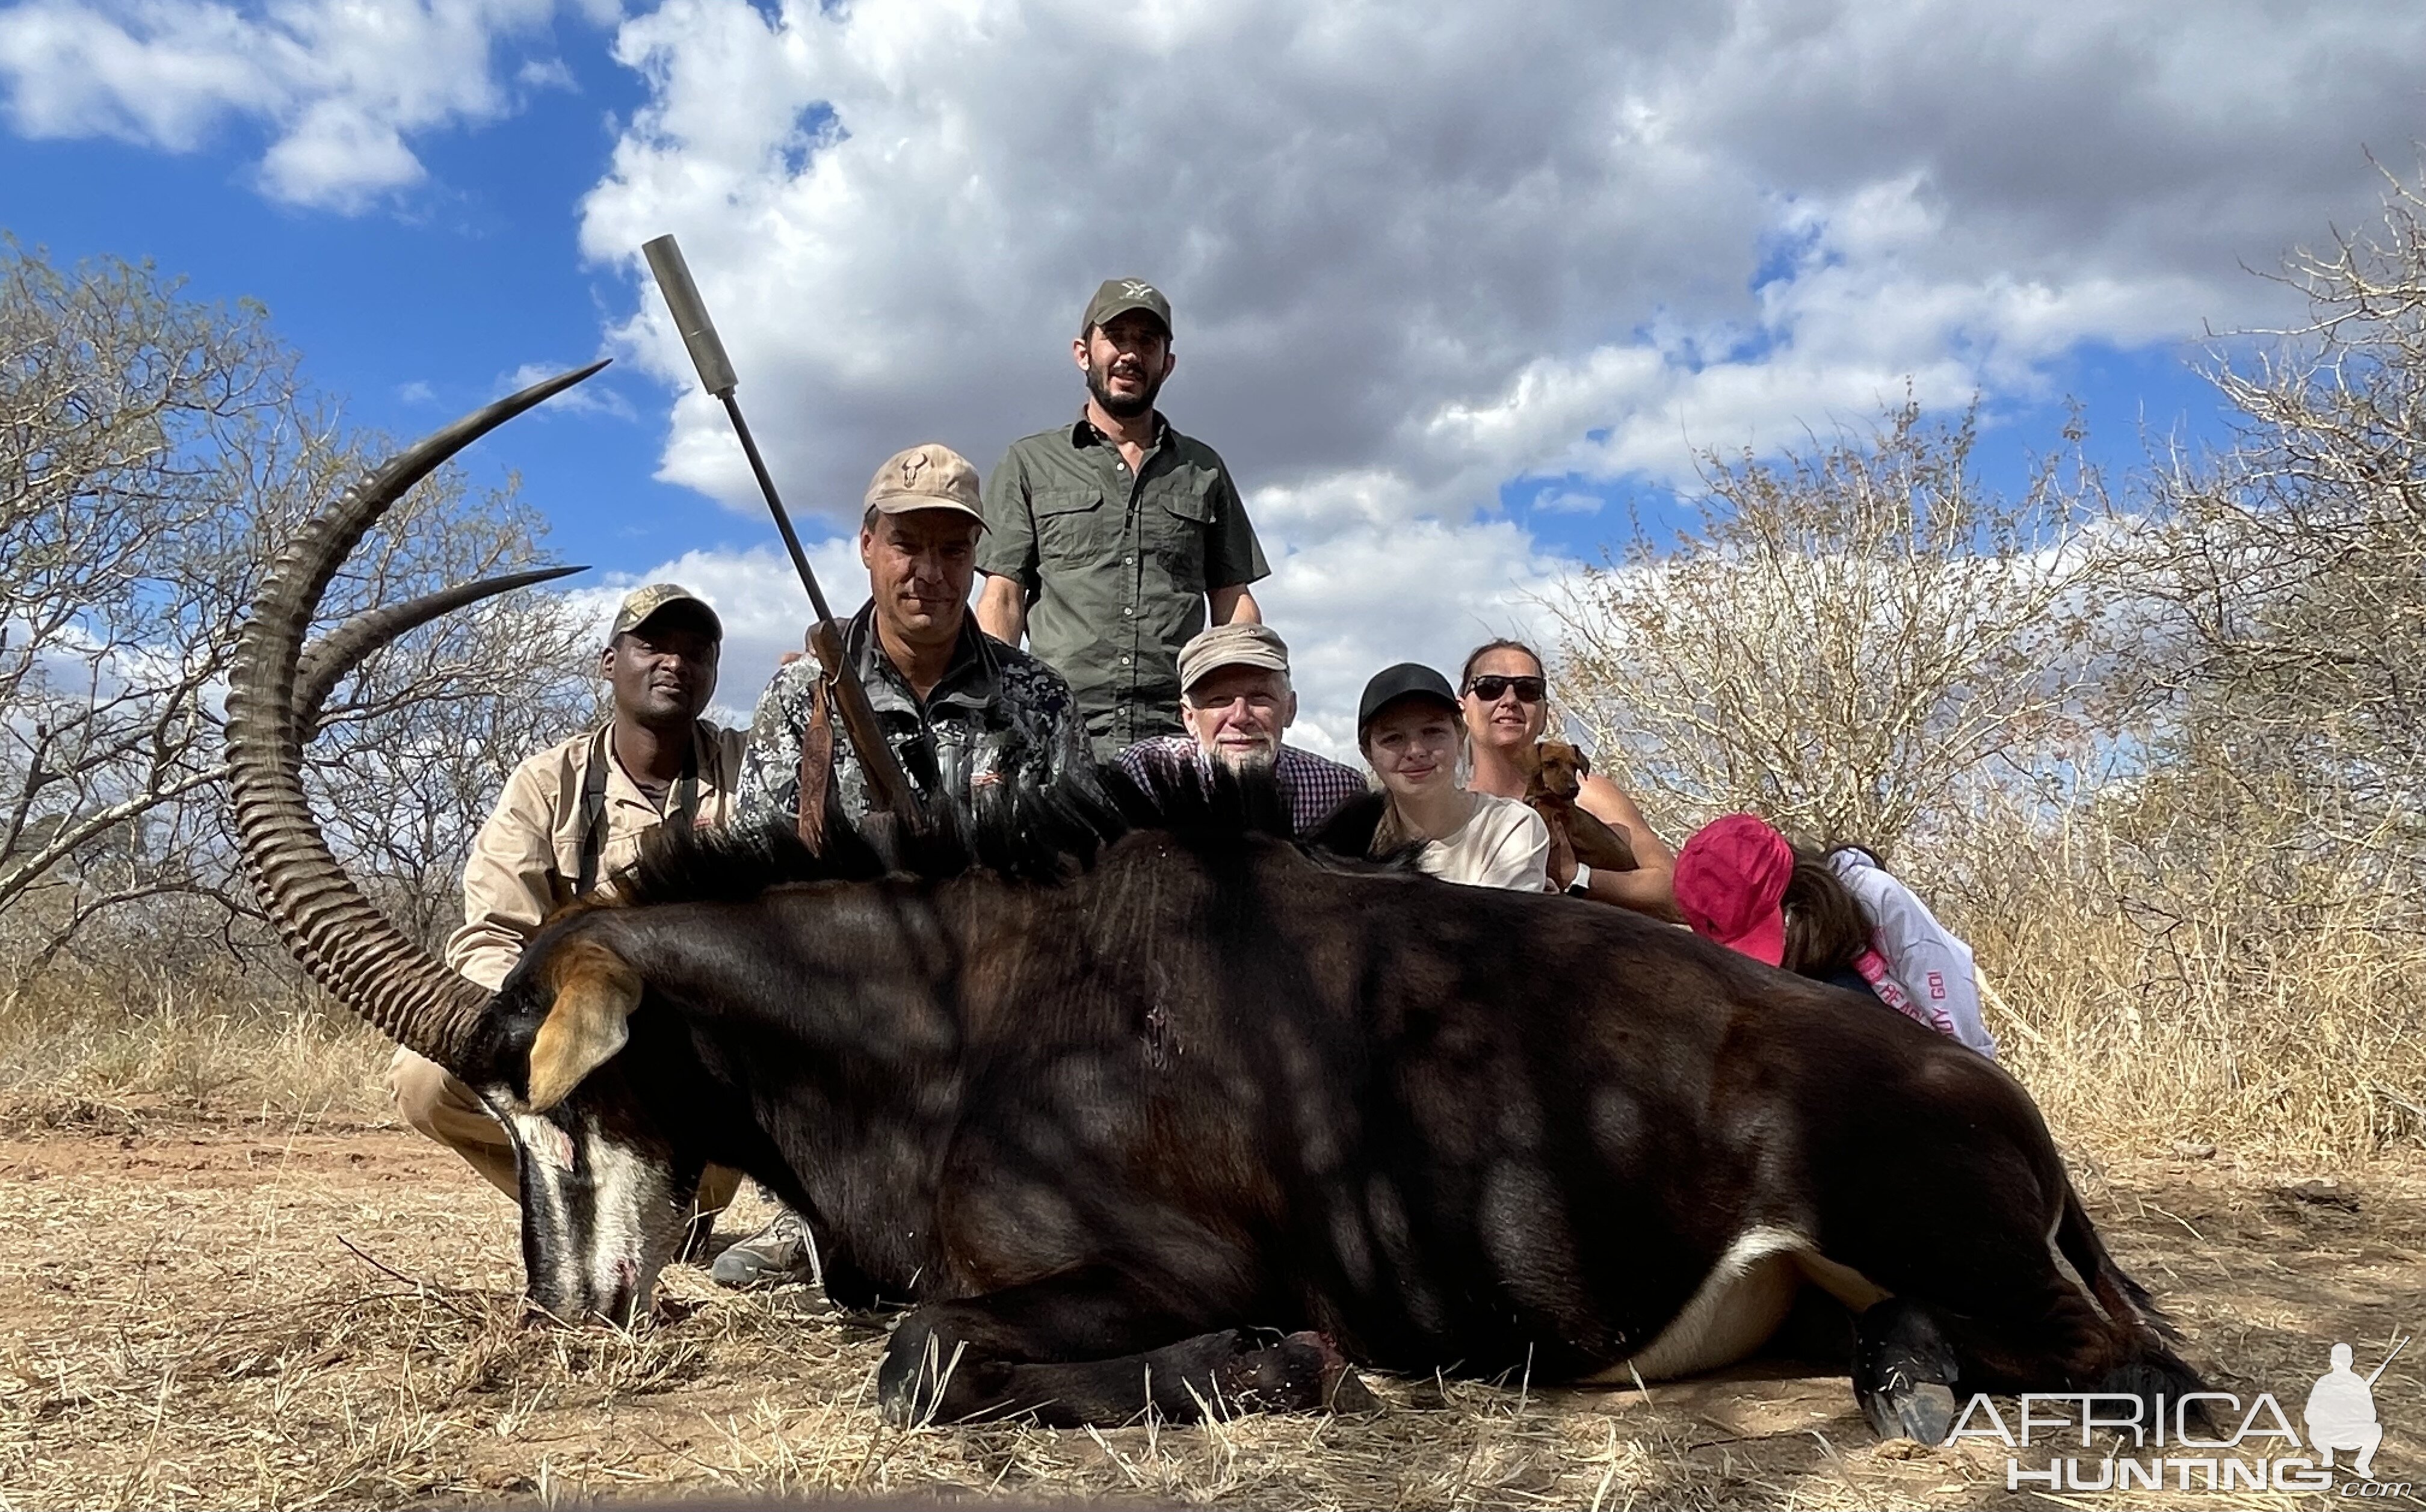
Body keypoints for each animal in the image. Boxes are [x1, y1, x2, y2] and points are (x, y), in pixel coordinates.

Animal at [223, 366, 2203, 1446]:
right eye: (485, 1111)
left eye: (551, 1089)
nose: (570, 1316)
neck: (956, 1007)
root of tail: (1992, 1098)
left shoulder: (1137, 1274)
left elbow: (926, 1360)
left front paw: (1288, 1371)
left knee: (2129, 1361)